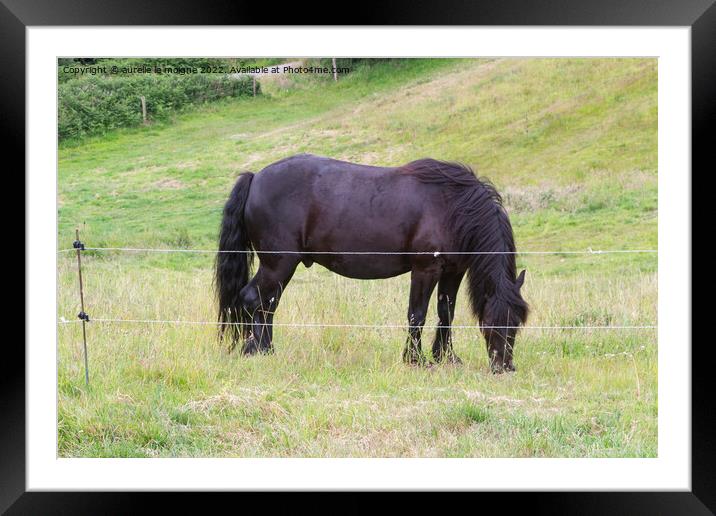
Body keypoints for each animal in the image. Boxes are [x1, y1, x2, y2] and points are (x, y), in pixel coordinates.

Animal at [215, 152, 528, 370]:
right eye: (490, 323)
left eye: (516, 324)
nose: (504, 366)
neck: (452, 206)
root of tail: (256, 177)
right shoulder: (425, 269)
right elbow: (417, 314)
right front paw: (415, 360)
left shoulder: (453, 270)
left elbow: (445, 314)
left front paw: (446, 358)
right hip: (278, 264)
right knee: (254, 299)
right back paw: (257, 350)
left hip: (280, 268)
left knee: (268, 304)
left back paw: (265, 349)